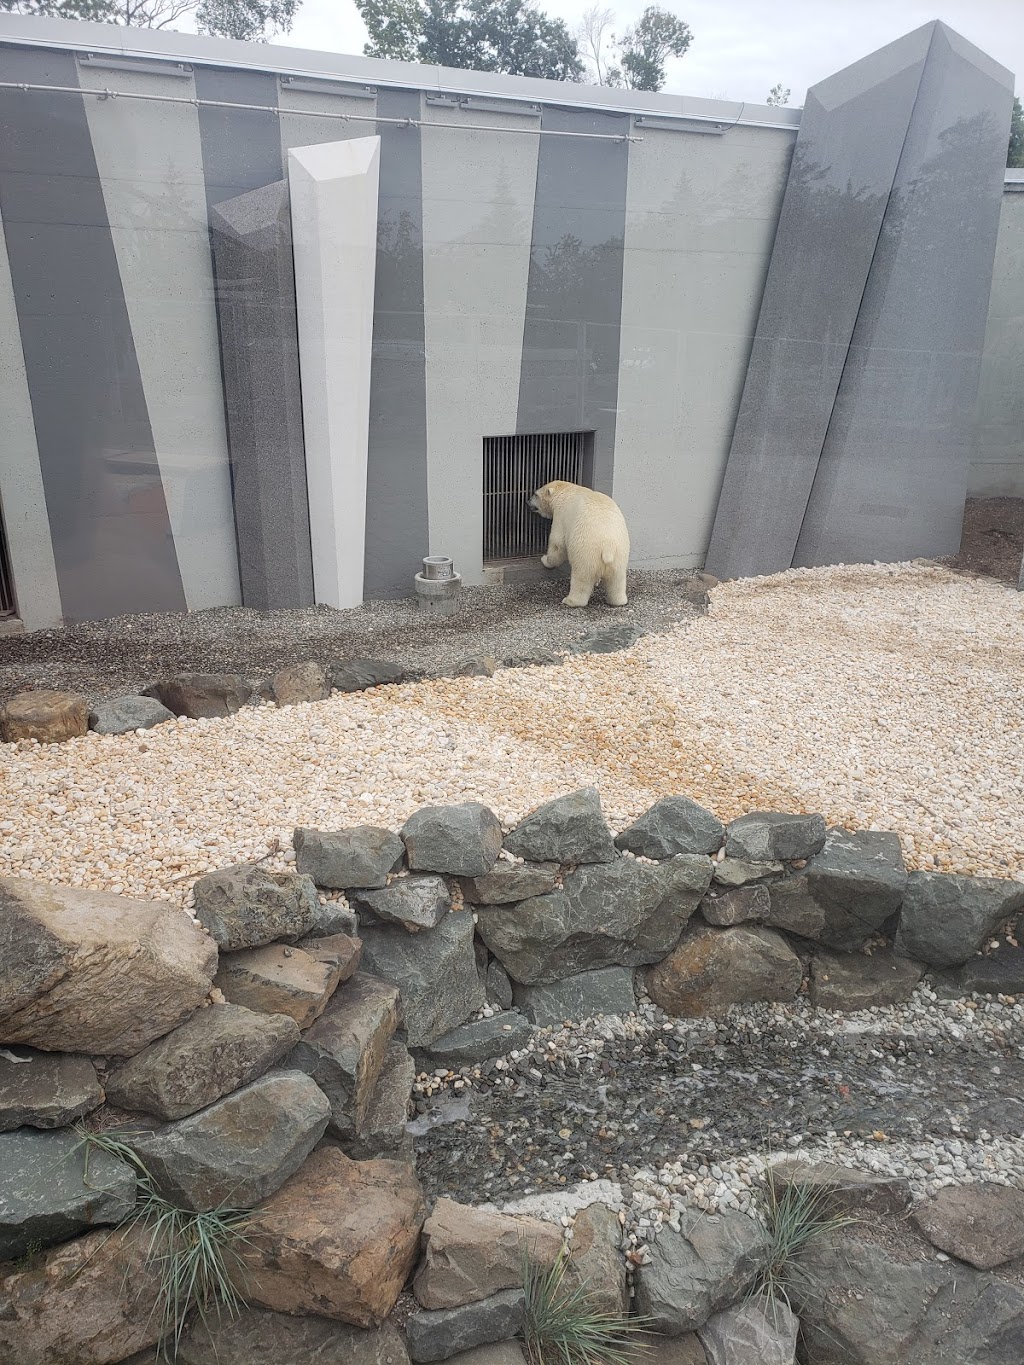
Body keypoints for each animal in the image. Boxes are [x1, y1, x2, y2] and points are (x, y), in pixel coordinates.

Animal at [532, 480, 630, 608]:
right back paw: (618, 601)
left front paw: (544, 559)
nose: (528, 501)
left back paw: (570, 600)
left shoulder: (561, 515)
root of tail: (607, 548)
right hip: (620, 556)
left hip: (585, 552)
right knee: (617, 581)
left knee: (581, 579)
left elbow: (557, 544)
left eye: (536, 494)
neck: (566, 490)